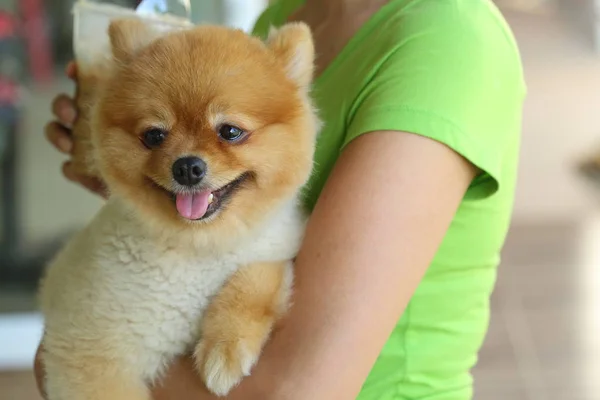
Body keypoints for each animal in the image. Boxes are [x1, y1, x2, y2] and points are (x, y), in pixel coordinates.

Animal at [38, 17, 318, 398]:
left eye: (230, 131)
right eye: (154, 136)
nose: (186, 167)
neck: (198, 245)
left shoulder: (277, 250)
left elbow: (257, 276)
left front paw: (225, 348)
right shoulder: (88, 349)